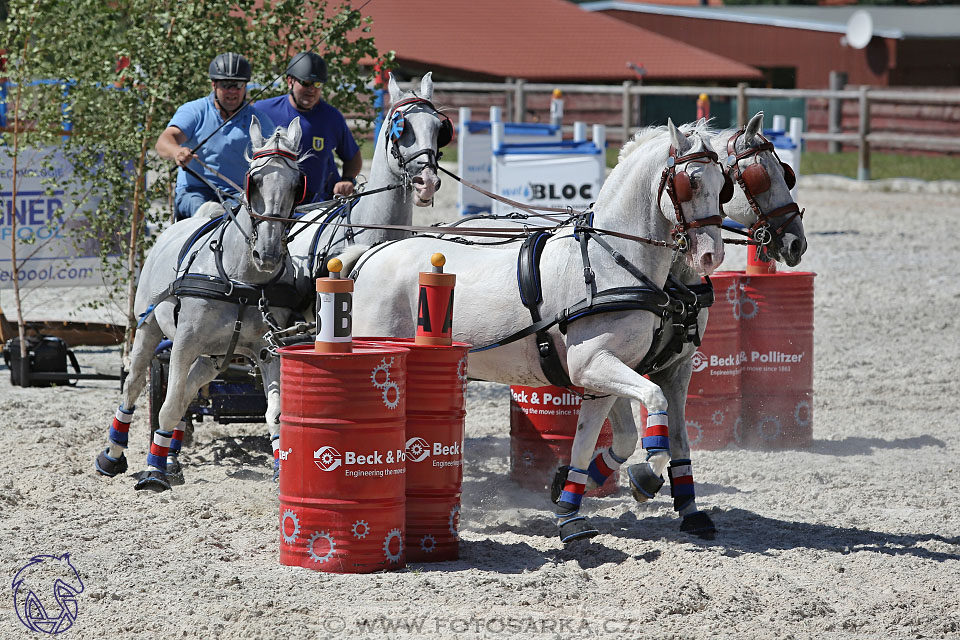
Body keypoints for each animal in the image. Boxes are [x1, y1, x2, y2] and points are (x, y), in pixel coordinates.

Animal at [94, 115, 304, 490]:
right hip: (150, 328)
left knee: (190, 389)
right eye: (254, 180)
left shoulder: (268, 349)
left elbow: (276, 412)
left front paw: (283, 471)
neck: (240, 280)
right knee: (135, 387)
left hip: (215, 355)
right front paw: (153, 472)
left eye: (297, 184)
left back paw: (169, 454)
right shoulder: (184, 343)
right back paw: (114, 455)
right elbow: (167, 405)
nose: (267, 253)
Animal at [348, 119, 732, 540]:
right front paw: (645, 475)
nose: (712, 255)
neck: (611, 262)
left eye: (724, 184)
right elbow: (653, 401)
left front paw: (570, 505)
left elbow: (601, 439)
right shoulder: (594, 364)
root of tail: (370, 255)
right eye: (690, 182)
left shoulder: (603, 372)